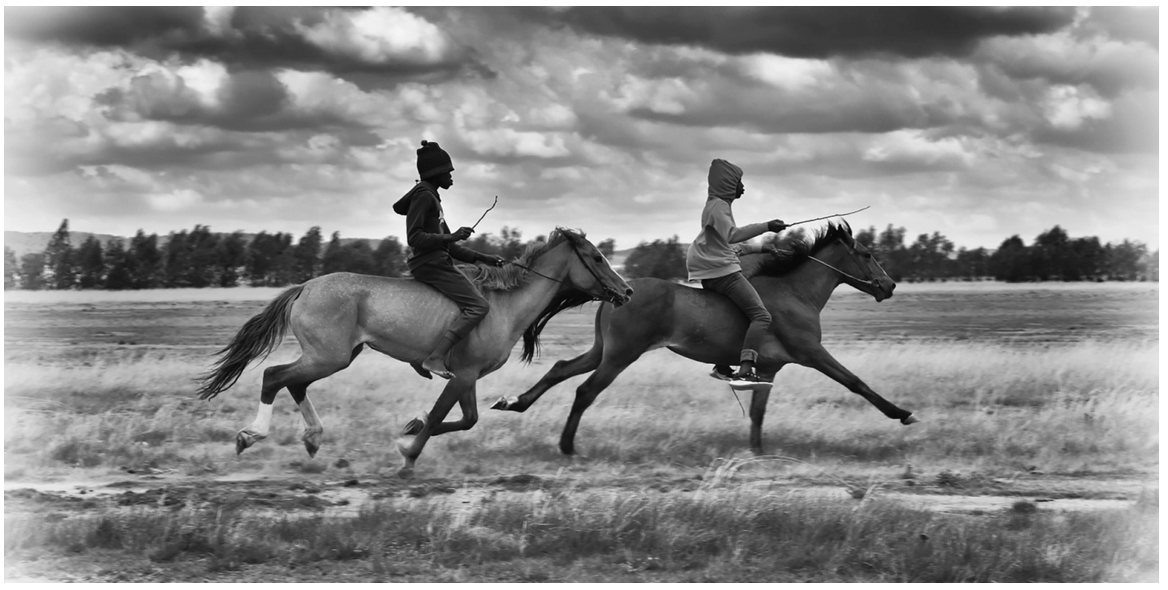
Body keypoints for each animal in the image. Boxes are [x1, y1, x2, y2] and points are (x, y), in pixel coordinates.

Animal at [196, 228, 633, 477]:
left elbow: (466, 419)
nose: (626, 292)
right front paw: (408, 454)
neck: (503, 305)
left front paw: (411, 427)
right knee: (275, 377)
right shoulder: (462, 375)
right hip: (328, 357)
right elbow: (445, 414)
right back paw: (252, 435)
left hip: (334, 357)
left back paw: (313, 438)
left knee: (294, 383)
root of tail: (305, 287)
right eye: (597, 257)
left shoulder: (468, 377)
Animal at [491, 221, 918, 456]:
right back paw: (566, 445)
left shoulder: (768, 368)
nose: (889, 285)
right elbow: (855, 382)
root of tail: (619, 292)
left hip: (603, 351)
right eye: (866, 254)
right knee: (585, 391)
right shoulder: (811, 352)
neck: (795, 291)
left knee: (562, 369)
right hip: (620, 355)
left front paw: (757, 451)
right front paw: (901, 413)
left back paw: (515, 403)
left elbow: (758, 412)